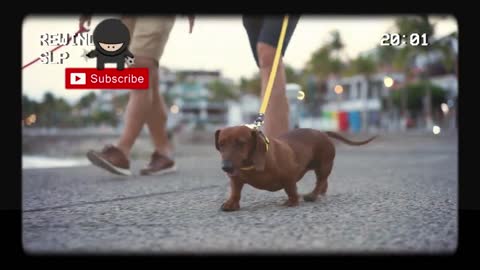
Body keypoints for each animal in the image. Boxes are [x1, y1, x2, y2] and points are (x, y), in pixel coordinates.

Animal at [216, 125, 376, 212]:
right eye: (221, 144)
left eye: (241, 143)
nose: (225, 167)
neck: (251, 165)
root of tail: (323, 132)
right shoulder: (236, 179)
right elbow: (235, 192)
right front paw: (231, 204)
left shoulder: (289, 177)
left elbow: (291, 190)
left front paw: (292, 201)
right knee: (324, 182)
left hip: (324, 165)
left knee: (320, 180)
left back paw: (312, 195)